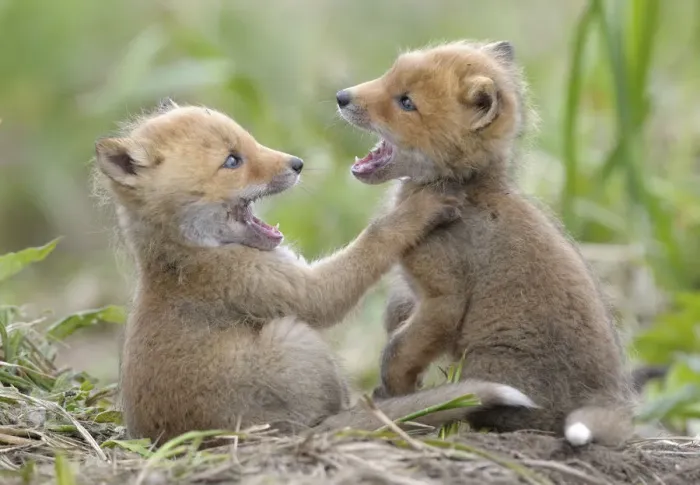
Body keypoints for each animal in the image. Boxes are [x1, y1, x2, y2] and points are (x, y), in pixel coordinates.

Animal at [93, 100, 537, 444]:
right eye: (232, 161)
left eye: (249, 141)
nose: (297, 163)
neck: (188, 254)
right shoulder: (286, 290)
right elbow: (372, 242)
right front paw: (416, 211)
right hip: (294, 338)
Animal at [336, 40, 636, 447]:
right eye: (388, 75)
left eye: (406, 102)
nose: (341, 96)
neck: (466, 190)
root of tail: (610, 402)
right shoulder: (415, 297)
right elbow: (397, 321)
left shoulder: (444, 298)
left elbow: (397, 352)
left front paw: (396, 396)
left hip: (484, 362)